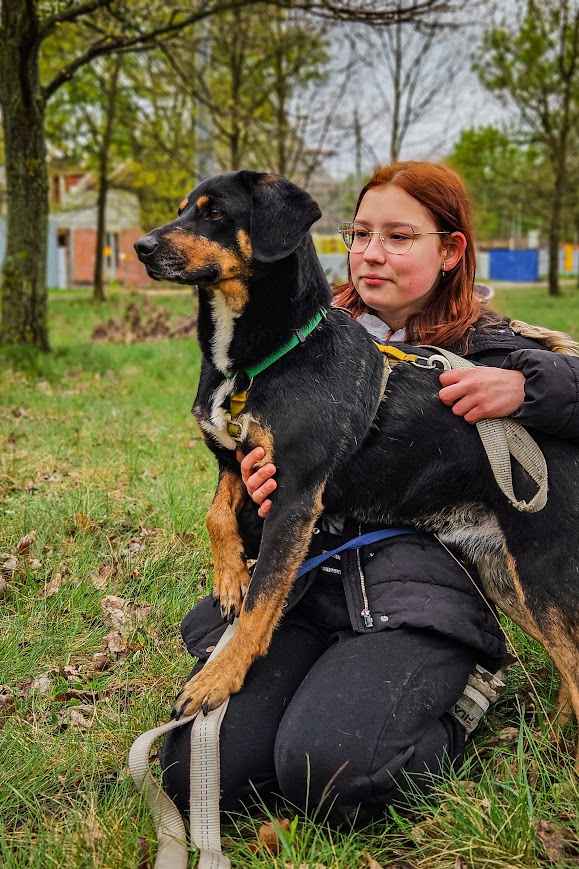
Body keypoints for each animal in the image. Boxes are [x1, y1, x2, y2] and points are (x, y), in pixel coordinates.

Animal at [137, 171, 579, 768]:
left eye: (214, 213)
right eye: (183, 207)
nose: (141, 247)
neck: (260, 359)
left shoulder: (295, 497)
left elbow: (262, 601)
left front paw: (219, 677)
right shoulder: (236, 462)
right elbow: (217, 517)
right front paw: (229, 579)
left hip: (543, 569)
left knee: (575, 662)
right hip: (504, 576)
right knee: (567, 662)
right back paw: (543, 742)